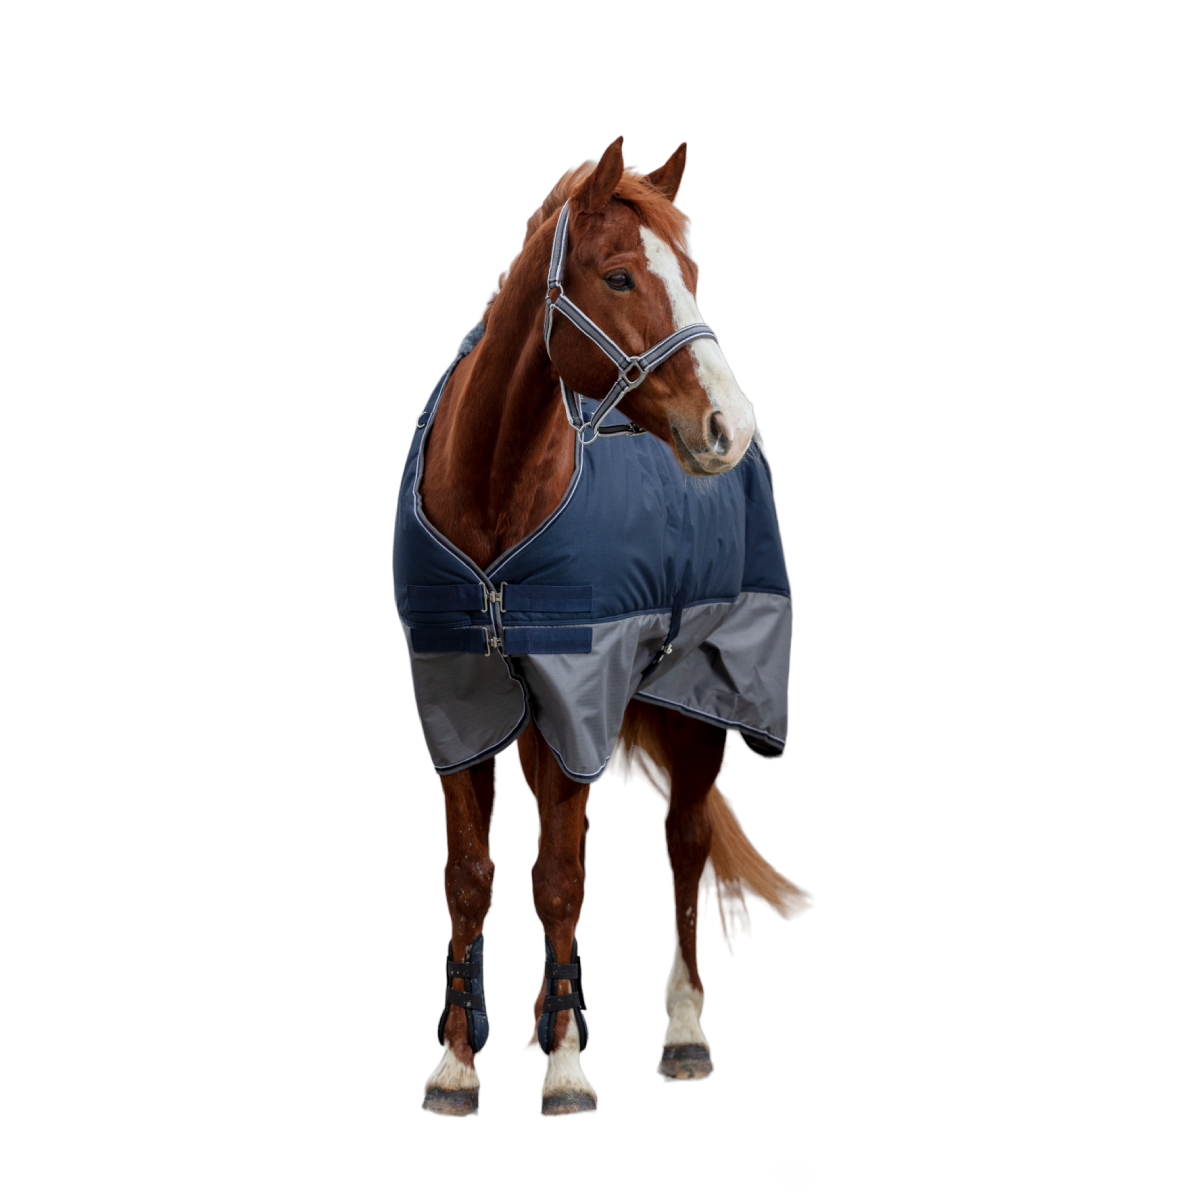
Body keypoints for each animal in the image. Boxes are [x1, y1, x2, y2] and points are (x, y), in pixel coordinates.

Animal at [393, 137, 803, 1116]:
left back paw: (683, 1033)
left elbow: (559, 879)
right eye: (619, 275)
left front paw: (567, 1068)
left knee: (684, 846)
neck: (493, 502)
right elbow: (473, 880)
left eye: (690, 273)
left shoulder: (580, 694)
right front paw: (458, 1061)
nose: (729, 426)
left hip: (701, 703)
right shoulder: (458, 702)